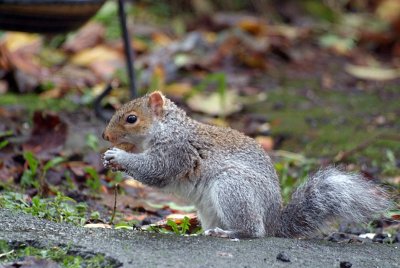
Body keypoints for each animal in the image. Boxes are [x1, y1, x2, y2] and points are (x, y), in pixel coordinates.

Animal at [101, 91, 390, 238]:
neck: (167, 128)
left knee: (253, 231)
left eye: (131, 118)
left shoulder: (177, 150)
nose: (105, 136)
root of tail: (273, 221)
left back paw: (228, 233)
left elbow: (157, 170)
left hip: (233, 188)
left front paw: (119, 157)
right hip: (209, 208)